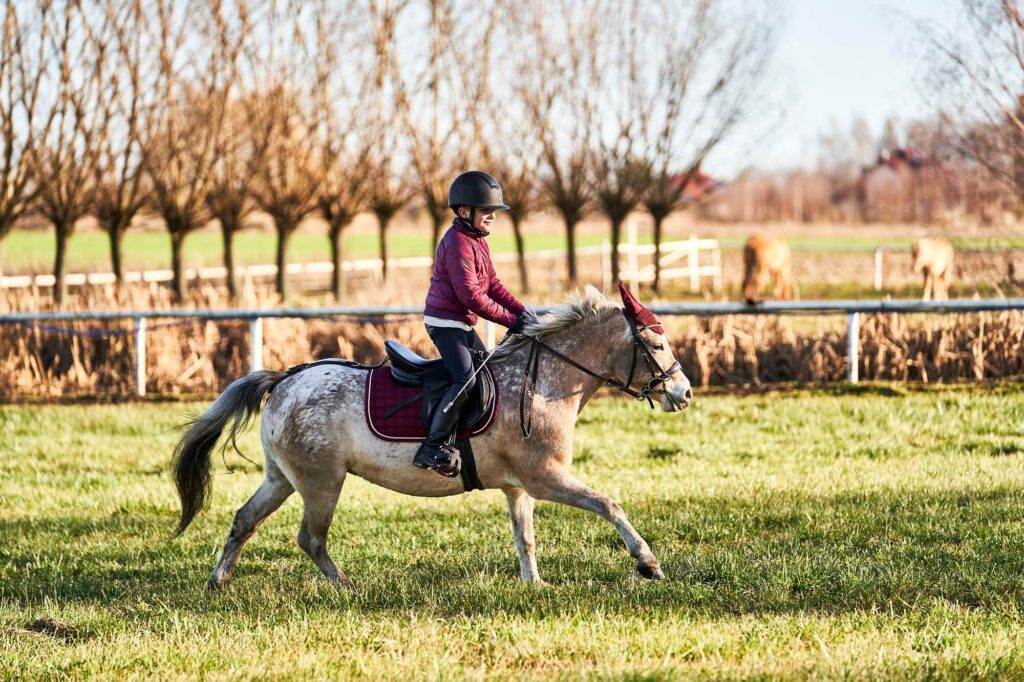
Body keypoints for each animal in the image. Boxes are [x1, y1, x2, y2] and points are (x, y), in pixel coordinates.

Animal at [172, 284, 692, 585]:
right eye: (656, 342)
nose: (684, 393)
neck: (542, 382)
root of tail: (284, 380)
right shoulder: (545, 478)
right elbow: (610, 505)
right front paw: (648, 563)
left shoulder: (520, 486)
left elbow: (524, 537)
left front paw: (535, 586)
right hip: (322, 482)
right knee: (310, 538)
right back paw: (346, 587)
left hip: (281, 478)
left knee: (245, 519)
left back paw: (218, 581)